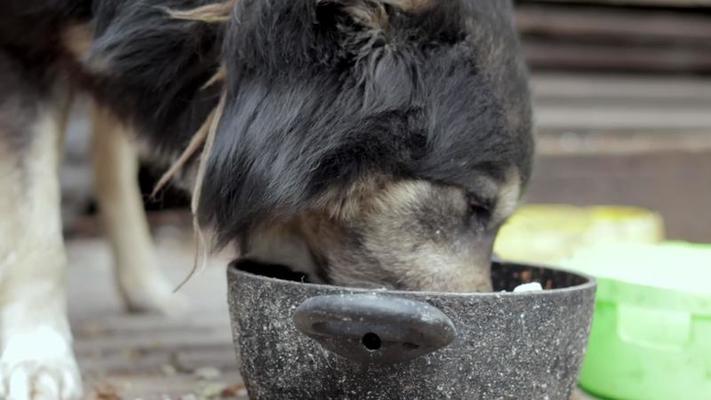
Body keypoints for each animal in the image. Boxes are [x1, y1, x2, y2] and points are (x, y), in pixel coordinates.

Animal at [0, 0, 536, 396]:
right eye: (476, 205)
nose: (484, 338)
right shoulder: (22, 44)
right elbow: (35, 232)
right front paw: (37, 358)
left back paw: (145, 288)